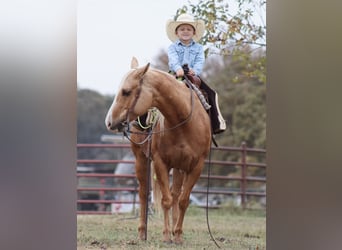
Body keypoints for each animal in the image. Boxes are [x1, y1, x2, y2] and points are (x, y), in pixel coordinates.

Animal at [105, 57, 211, 243]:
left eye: (126, 91)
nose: (109, 121)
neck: (183, 122)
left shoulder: (196, 166)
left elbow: (183, 200)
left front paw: (178, 235)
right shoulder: (161, 163)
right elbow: (166, 200)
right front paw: (167, 235)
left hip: (179, 167)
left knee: (176, 194)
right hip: (141, 159)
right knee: (143, 193)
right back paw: (142, 232)